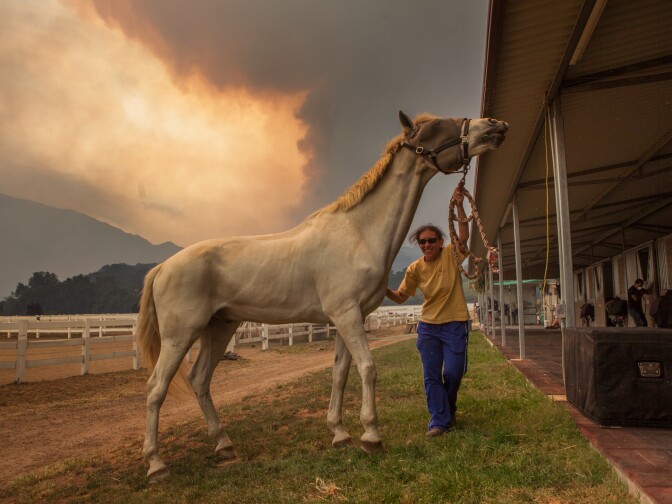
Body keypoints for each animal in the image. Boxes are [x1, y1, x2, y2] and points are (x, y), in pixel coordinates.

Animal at [136, 110, 508, 481]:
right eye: (436, 127)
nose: (495, 125)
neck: (359, 232)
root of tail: (163, 267)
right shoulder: (346, 315)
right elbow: (368, 367)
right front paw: (371, 436)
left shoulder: (349, 317)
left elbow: (340, 373)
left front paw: (340, 433)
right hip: (181, 334)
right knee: (156, 388)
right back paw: (156, 464)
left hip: (220, 328)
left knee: (199, 380)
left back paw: (224, 445)